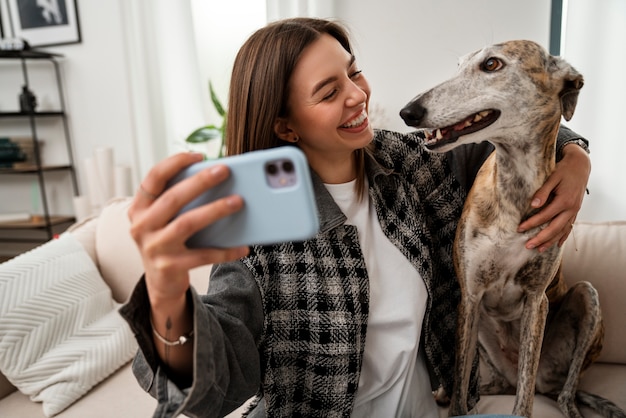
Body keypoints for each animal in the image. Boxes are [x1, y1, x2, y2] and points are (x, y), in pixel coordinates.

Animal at [402, 40, 620, 418]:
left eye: (492, 64)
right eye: (458, 66)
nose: (408, 112)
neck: (514, 188)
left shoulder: (536, 300)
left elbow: (524, 397)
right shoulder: (470, 296)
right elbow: (461, 386)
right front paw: (454, 401)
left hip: (586, 300)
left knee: (561, 392)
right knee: (486, 385)